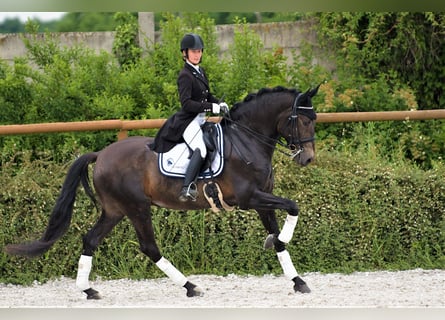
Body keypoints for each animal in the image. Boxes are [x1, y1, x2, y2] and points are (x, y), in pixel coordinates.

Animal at [2, 85, 316, 300]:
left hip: (115, 211)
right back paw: (190, 286)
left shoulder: (262, 201)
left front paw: (297, 278)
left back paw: (88, 290)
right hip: (137, 208)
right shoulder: (249, 199)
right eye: (301, 120)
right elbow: (293, 206)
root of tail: (101, 155)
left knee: (90, 240)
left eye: (314, 119)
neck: (247, 141)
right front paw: (281, 242)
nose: (308, 159)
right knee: (149, 247)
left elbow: (279, 234)